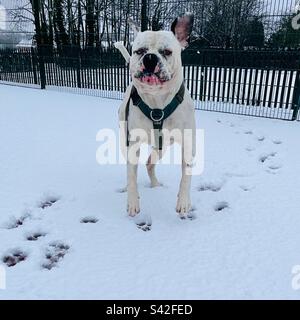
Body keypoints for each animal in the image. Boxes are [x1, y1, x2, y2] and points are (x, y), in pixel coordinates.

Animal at [116, 13, 196, 218]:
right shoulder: (132, 144)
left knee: (149, 164)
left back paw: (156, 185)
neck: (157, 100)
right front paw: (132, 202)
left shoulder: (188, 144)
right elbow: (131, 175)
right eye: (139, 51)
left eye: (167, 51)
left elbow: (186, 175)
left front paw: (184, 202)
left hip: (161, 146)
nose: (150, 58)